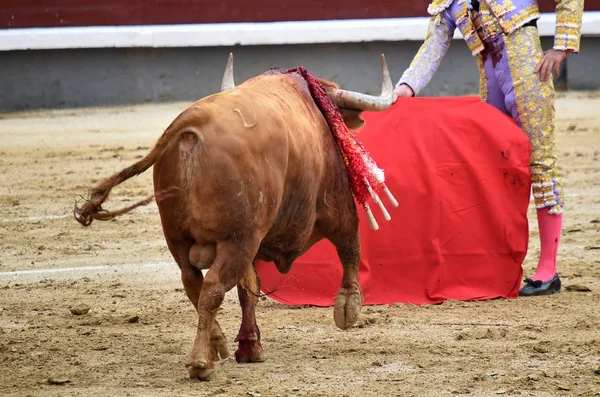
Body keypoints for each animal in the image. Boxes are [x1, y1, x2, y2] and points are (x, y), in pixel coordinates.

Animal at [75, 54, 394, 378]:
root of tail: (189, 123)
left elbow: (248, 289)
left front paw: (250, 347)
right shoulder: (336, 205)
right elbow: (350, 245)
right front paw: (349, 308)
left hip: (179, 237)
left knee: (194, 283)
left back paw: (217, 343)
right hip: (239, 238)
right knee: (213, 287)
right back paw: (200, 362)